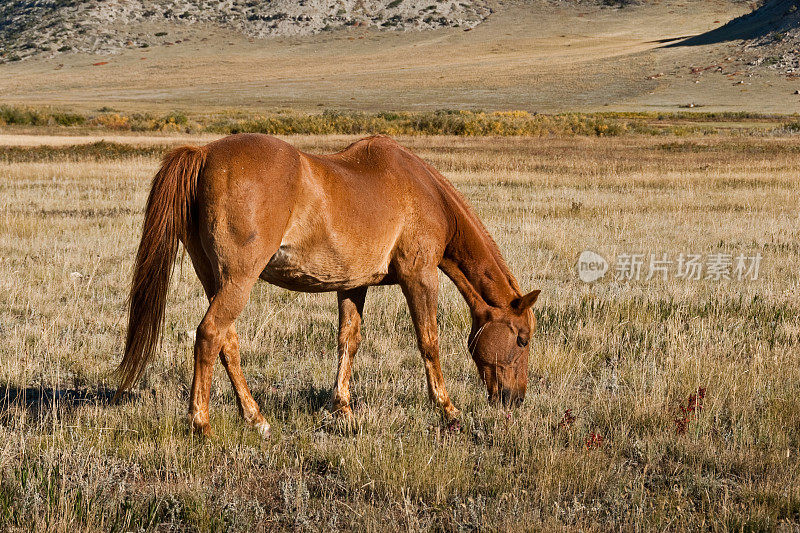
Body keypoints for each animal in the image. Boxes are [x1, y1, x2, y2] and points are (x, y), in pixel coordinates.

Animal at [115, 133, 540, 436]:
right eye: (522, 339)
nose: (515, 399)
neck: (424, 193)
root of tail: (203, 155)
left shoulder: (353, 285)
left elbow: (347, 341)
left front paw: (343, 409)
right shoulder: (420, 276)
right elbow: (429, 342)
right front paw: (448, 409)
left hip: (215, 279)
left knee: (227, 342)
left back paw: (256, 418)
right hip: (238, 279)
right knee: (209, 335)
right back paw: (201, 423)